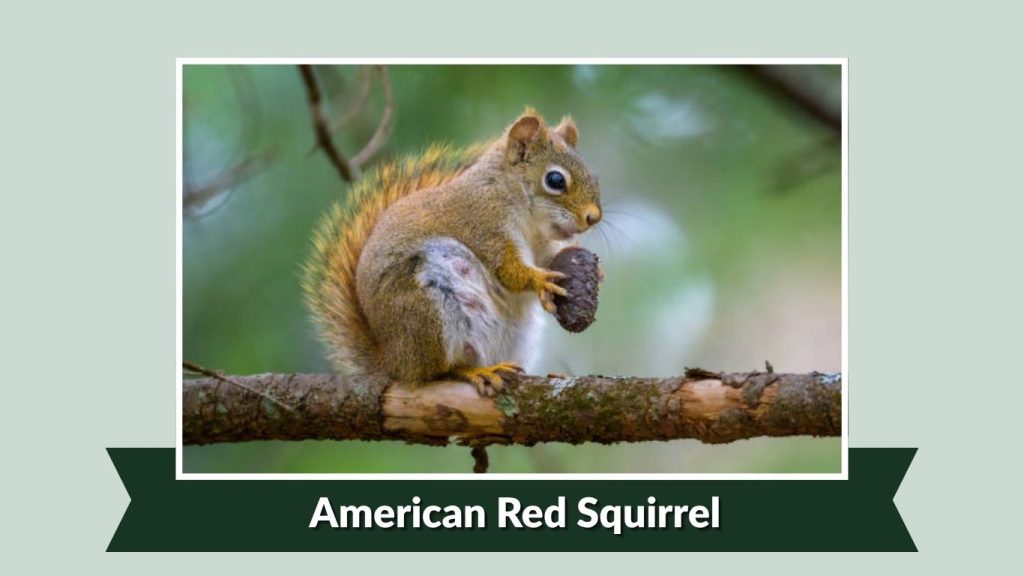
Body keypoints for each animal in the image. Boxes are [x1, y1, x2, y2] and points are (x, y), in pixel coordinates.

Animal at [302, 109, 602, 396]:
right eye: (555, 179)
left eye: (593, 175)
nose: (593, 218)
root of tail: (395, 360)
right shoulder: (484, 226)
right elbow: (507, 270)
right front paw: (541, 280)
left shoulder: (539, 246)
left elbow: (545, 260)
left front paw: (591, 267)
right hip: (427, 310)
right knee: (438, 371)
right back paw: (476, 371)